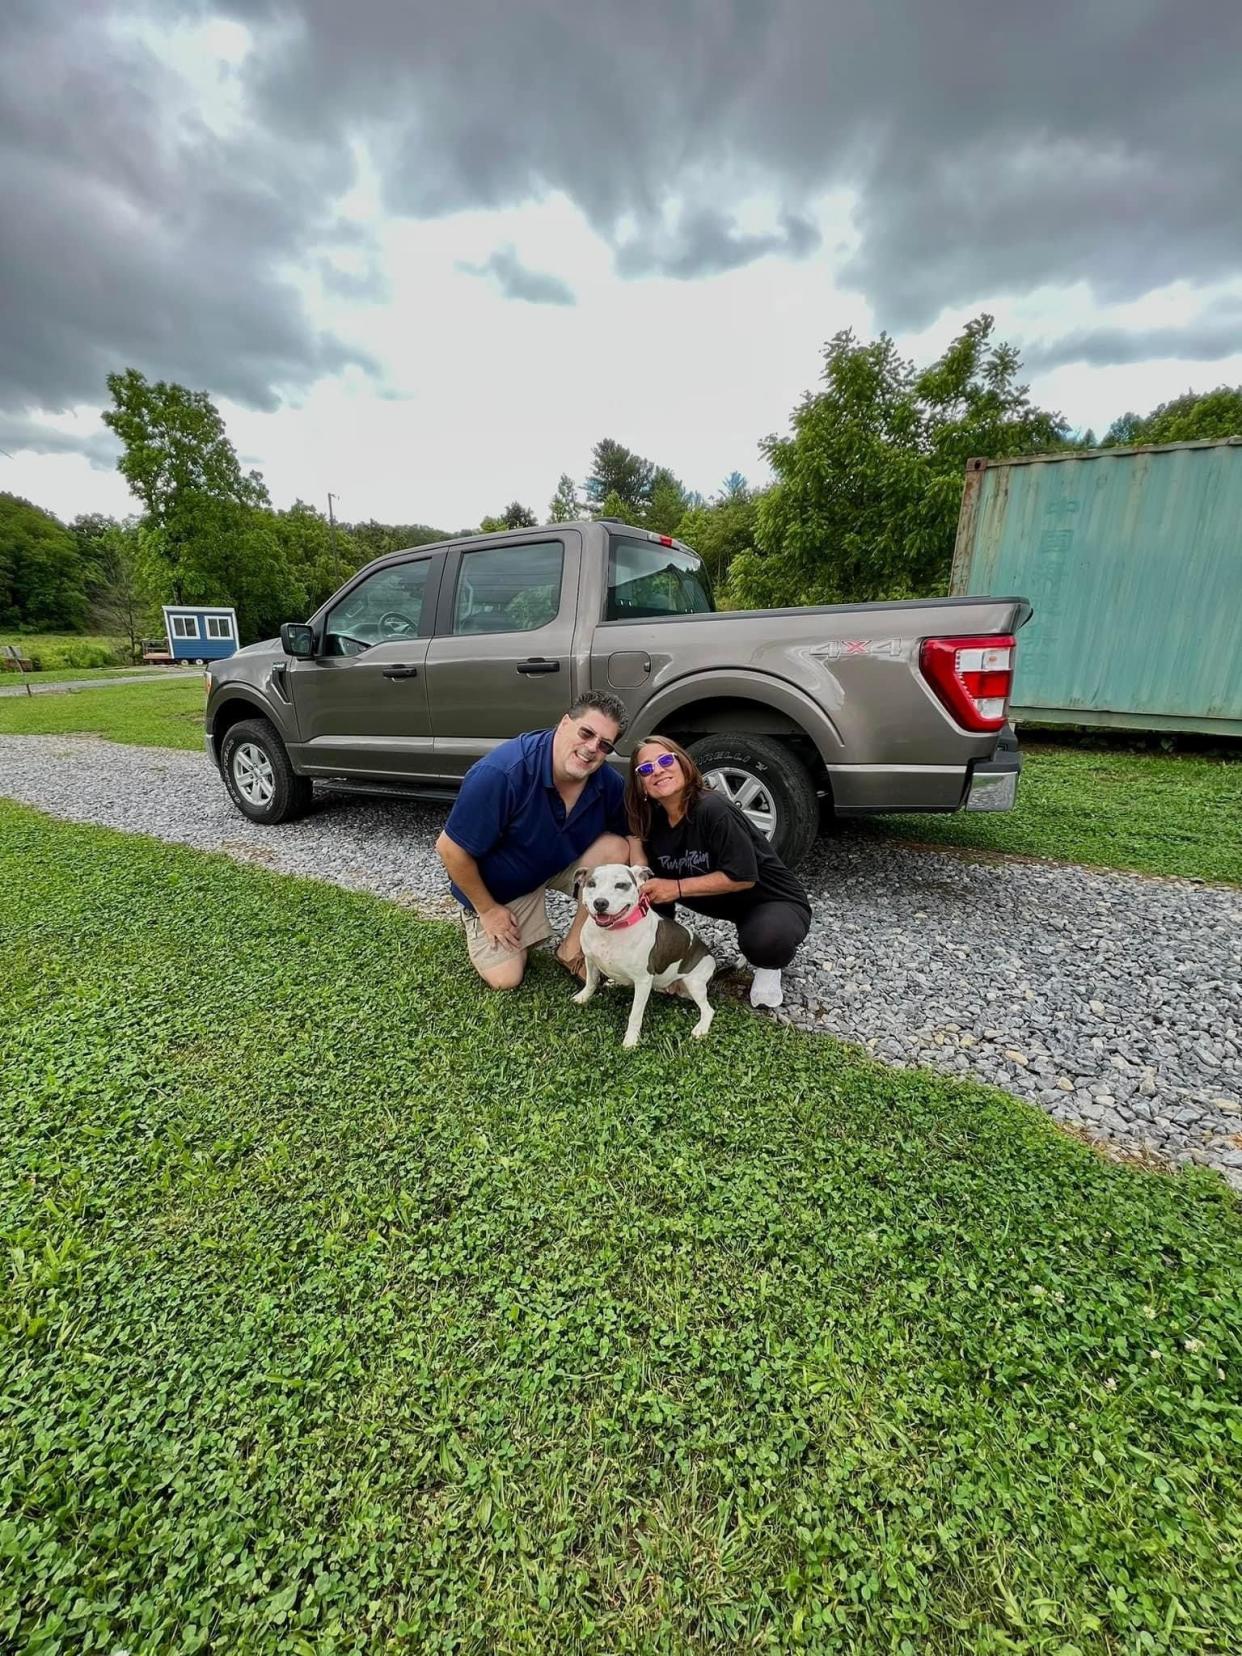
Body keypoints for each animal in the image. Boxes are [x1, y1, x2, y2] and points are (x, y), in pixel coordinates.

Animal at [576, 867, 718, 1046]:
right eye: (591, 884)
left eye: (621, 885)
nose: (600, 903)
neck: (610, 932)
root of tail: (710, 956)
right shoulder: (590, 960)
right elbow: (591, 982)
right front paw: (582, 997)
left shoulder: (643, 981)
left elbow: (635, 1014)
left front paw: (631, 1040)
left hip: (694, 984)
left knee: (708, 1010)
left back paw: (701, 1029)